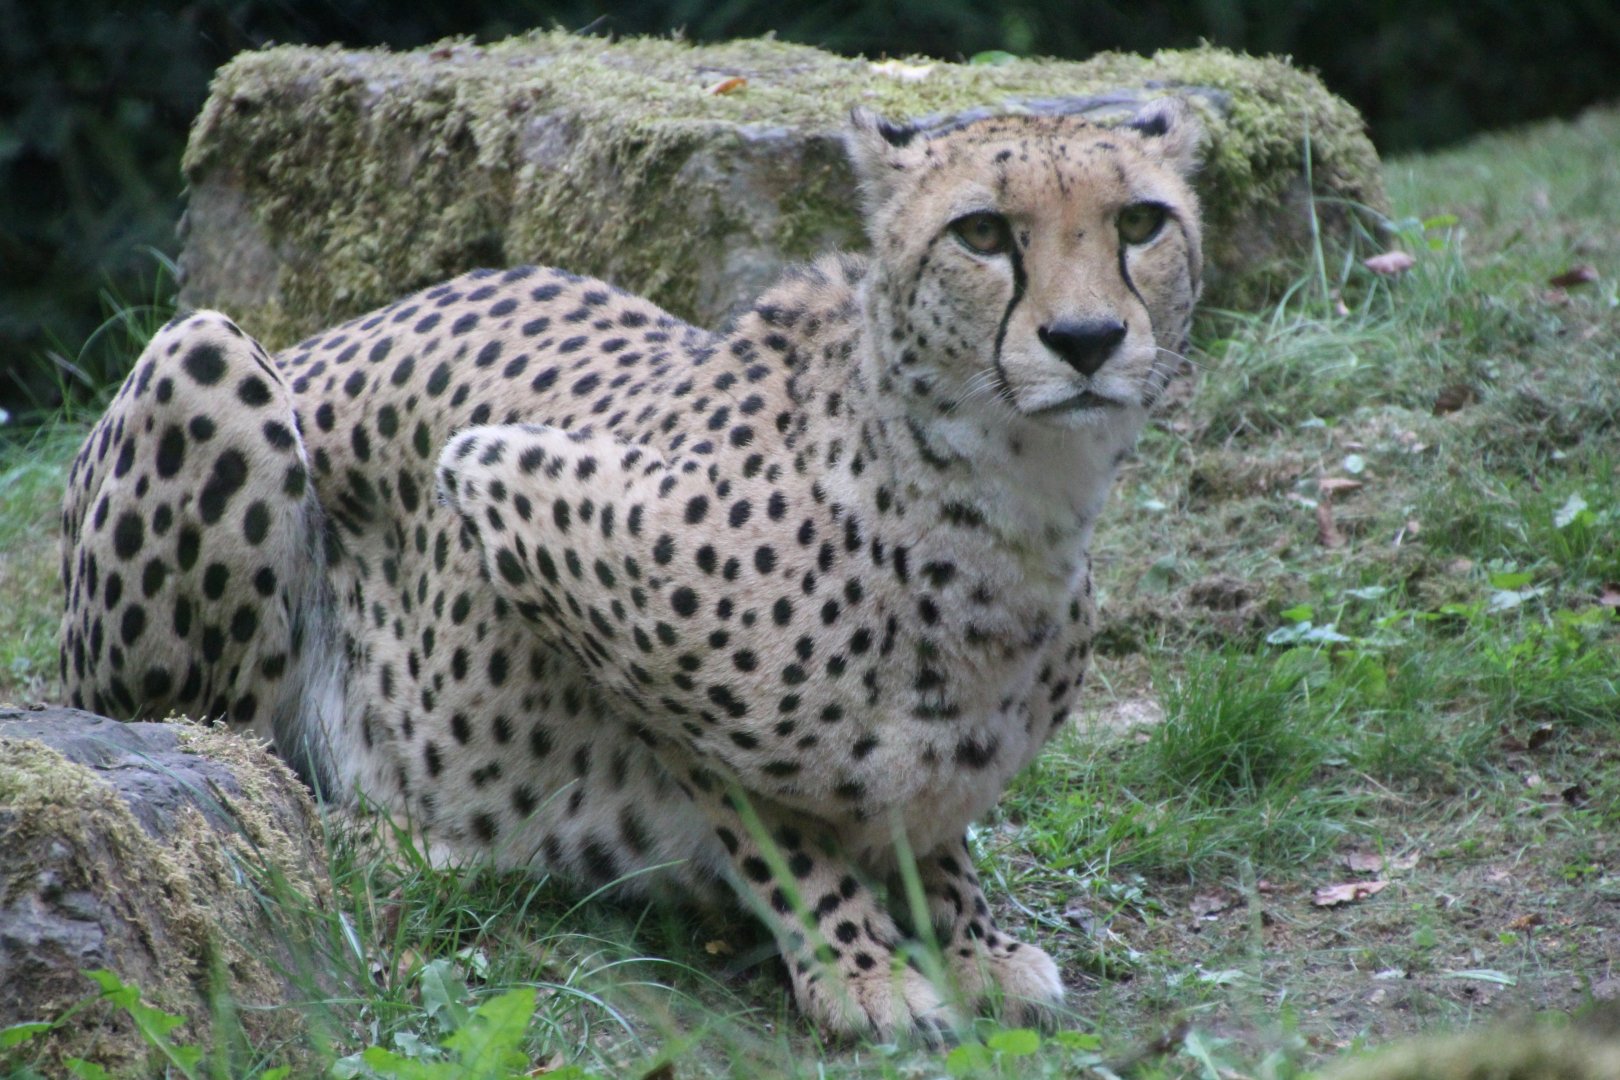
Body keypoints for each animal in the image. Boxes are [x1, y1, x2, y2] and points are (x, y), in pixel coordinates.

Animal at [59, 97, 1203, 1041]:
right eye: (981, 233)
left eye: (1141, 223)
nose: (1088, 338)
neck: (1008, 504)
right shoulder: (509, 490)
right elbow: (763, 809)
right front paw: (859, 966)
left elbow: (929, 822)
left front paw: (969, 943)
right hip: (202, 358)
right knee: (239, 762)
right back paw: (395, 843)